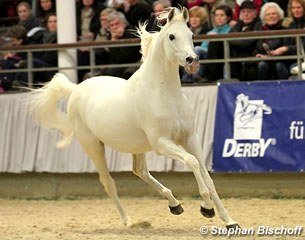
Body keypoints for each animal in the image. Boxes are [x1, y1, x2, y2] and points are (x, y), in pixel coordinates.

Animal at [28, 7, 238, 229]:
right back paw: (129, 221)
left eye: (191, 35)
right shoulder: (161, 143)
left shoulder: (190, 138)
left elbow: (207, 176)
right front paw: (206, 208)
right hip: (93, 146)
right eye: (172, 36)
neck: (165, 93)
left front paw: (229, 220)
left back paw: (174, 205)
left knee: (140, 171)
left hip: (137, 146)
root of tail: (76, 89)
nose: (192, 61)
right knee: (109, 183)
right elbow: (192, 162)